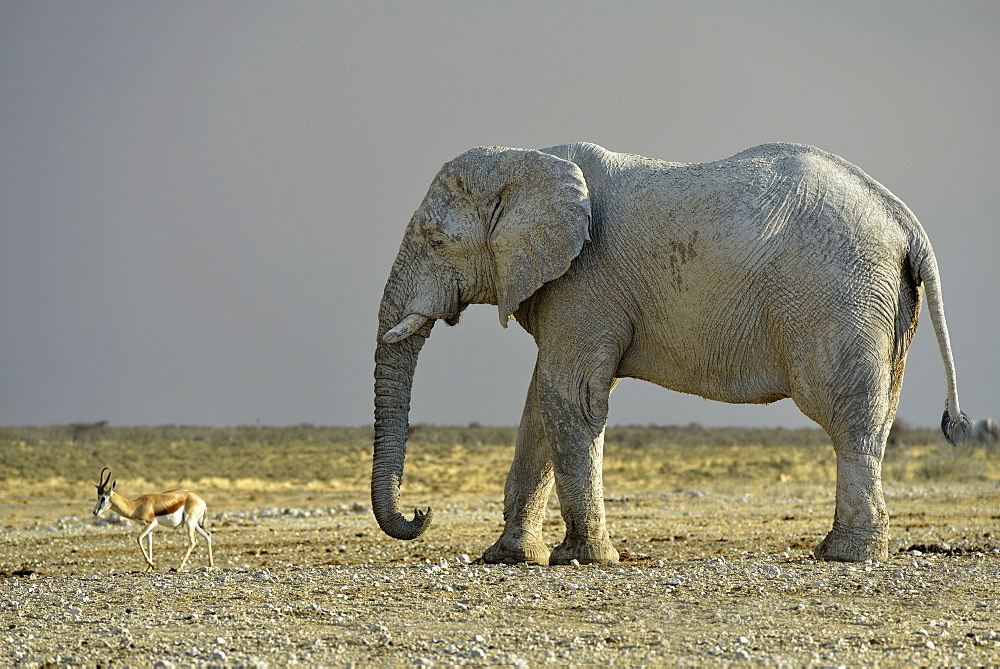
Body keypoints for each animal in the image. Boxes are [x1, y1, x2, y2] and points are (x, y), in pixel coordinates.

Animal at [372, 142, 972, 564]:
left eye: (436, 240)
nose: (422, 512)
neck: (526, 159)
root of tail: (905, 221)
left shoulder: (584, 282)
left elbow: (571, 398)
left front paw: (582, 560)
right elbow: (541, 405)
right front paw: (509, 559)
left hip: (839, 296)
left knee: (848, 419)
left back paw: (844, 557)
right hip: (881, 303)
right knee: (876, 415)